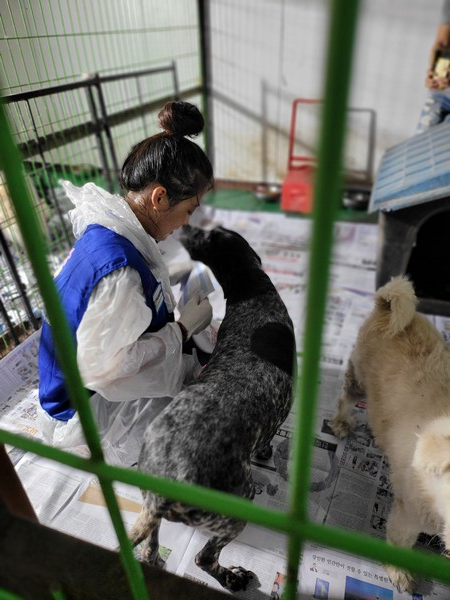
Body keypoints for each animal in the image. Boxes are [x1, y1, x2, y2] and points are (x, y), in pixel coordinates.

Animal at [128, 224, 296, 592]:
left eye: (209, 234)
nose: (184, 227)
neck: (251, 288)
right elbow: (267, 440)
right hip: (236, 508)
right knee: (204, 558)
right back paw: (233, 578)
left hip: (151, 512)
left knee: (149, 549)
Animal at [330, 278, 450, 596]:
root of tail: (387, 307)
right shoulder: (408, 514)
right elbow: (399, 540)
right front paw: (400, 572)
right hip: (358, 376)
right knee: (346, 398)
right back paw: (342, 422)